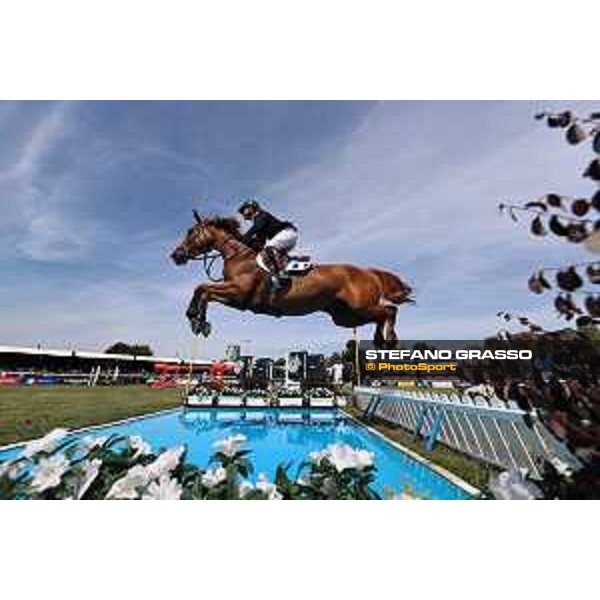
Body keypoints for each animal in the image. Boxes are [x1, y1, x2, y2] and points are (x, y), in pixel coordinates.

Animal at [170, 214, 412, 346]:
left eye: (191, 232)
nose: (176, 255)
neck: (238, 256)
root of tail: (368, 272)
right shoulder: (237, 298)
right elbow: (203, 290)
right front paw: (198, 321)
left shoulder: (239, 293)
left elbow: (203, 288)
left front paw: (196, 320)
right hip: (346, 316)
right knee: (381, 316)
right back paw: (380, 342)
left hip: (360, 306)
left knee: (390, 311)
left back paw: (390, 340)